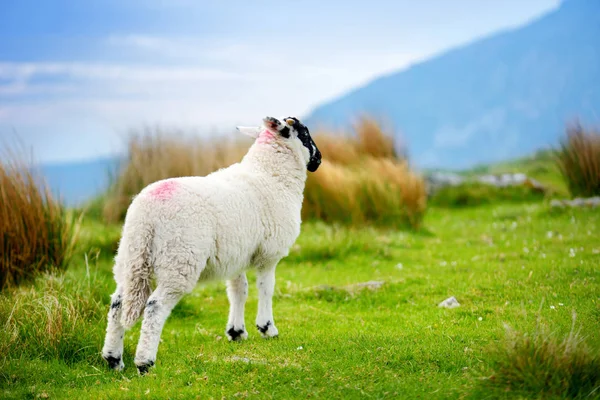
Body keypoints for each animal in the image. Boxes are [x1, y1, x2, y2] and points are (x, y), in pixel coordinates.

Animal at [101, 115, 322, 376]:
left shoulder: (236, 254)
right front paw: (267, 328)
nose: (319, 160)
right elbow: (266, 288)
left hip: (131, 258)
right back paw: (145, 363)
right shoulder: (269, 254)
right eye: (305, 134)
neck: (271, 175)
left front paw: (236, 332)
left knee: (117, 303)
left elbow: (239, 290)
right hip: (179, 260)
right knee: (155, 306)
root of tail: (146, 213)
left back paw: (113, 359)